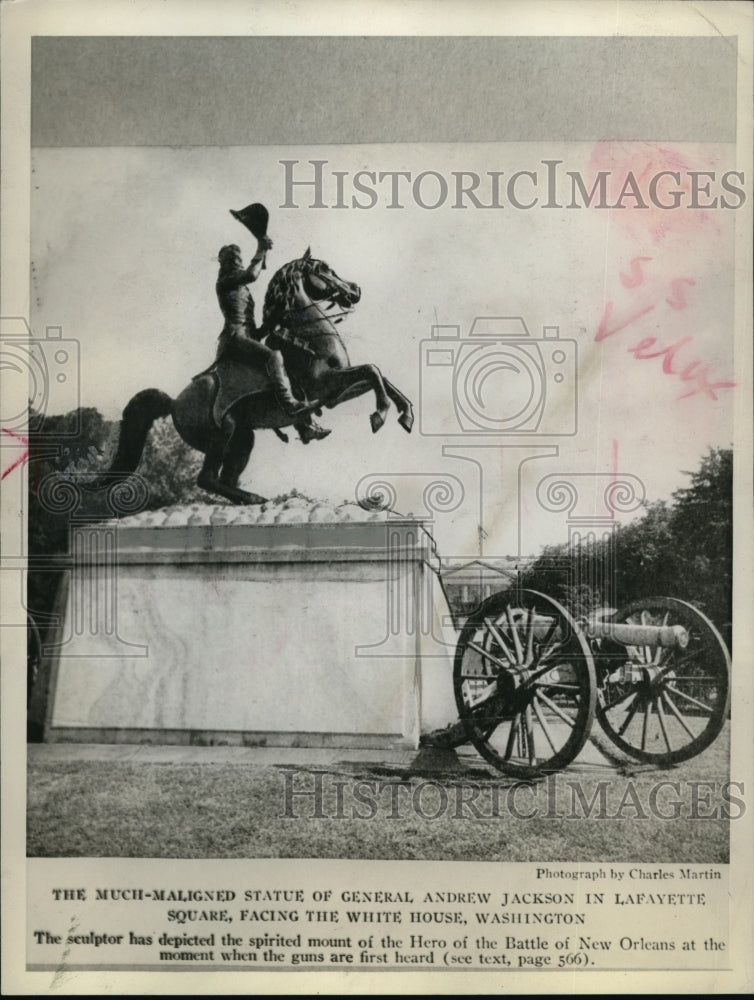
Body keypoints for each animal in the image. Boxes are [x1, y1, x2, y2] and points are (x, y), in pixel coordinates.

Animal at [97, 247, 414, 504]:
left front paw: (406, 415)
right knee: (207, 478)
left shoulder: (335, 393)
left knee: (224, 477)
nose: (355, 290)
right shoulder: (325, 385)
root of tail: (174, 402)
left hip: (242, 437)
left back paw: (252, 497)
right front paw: (380, 415)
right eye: (324, 269)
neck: (308, 334)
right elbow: (372, 370)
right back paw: (253, 498)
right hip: (221, 433)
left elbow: (380, 377)